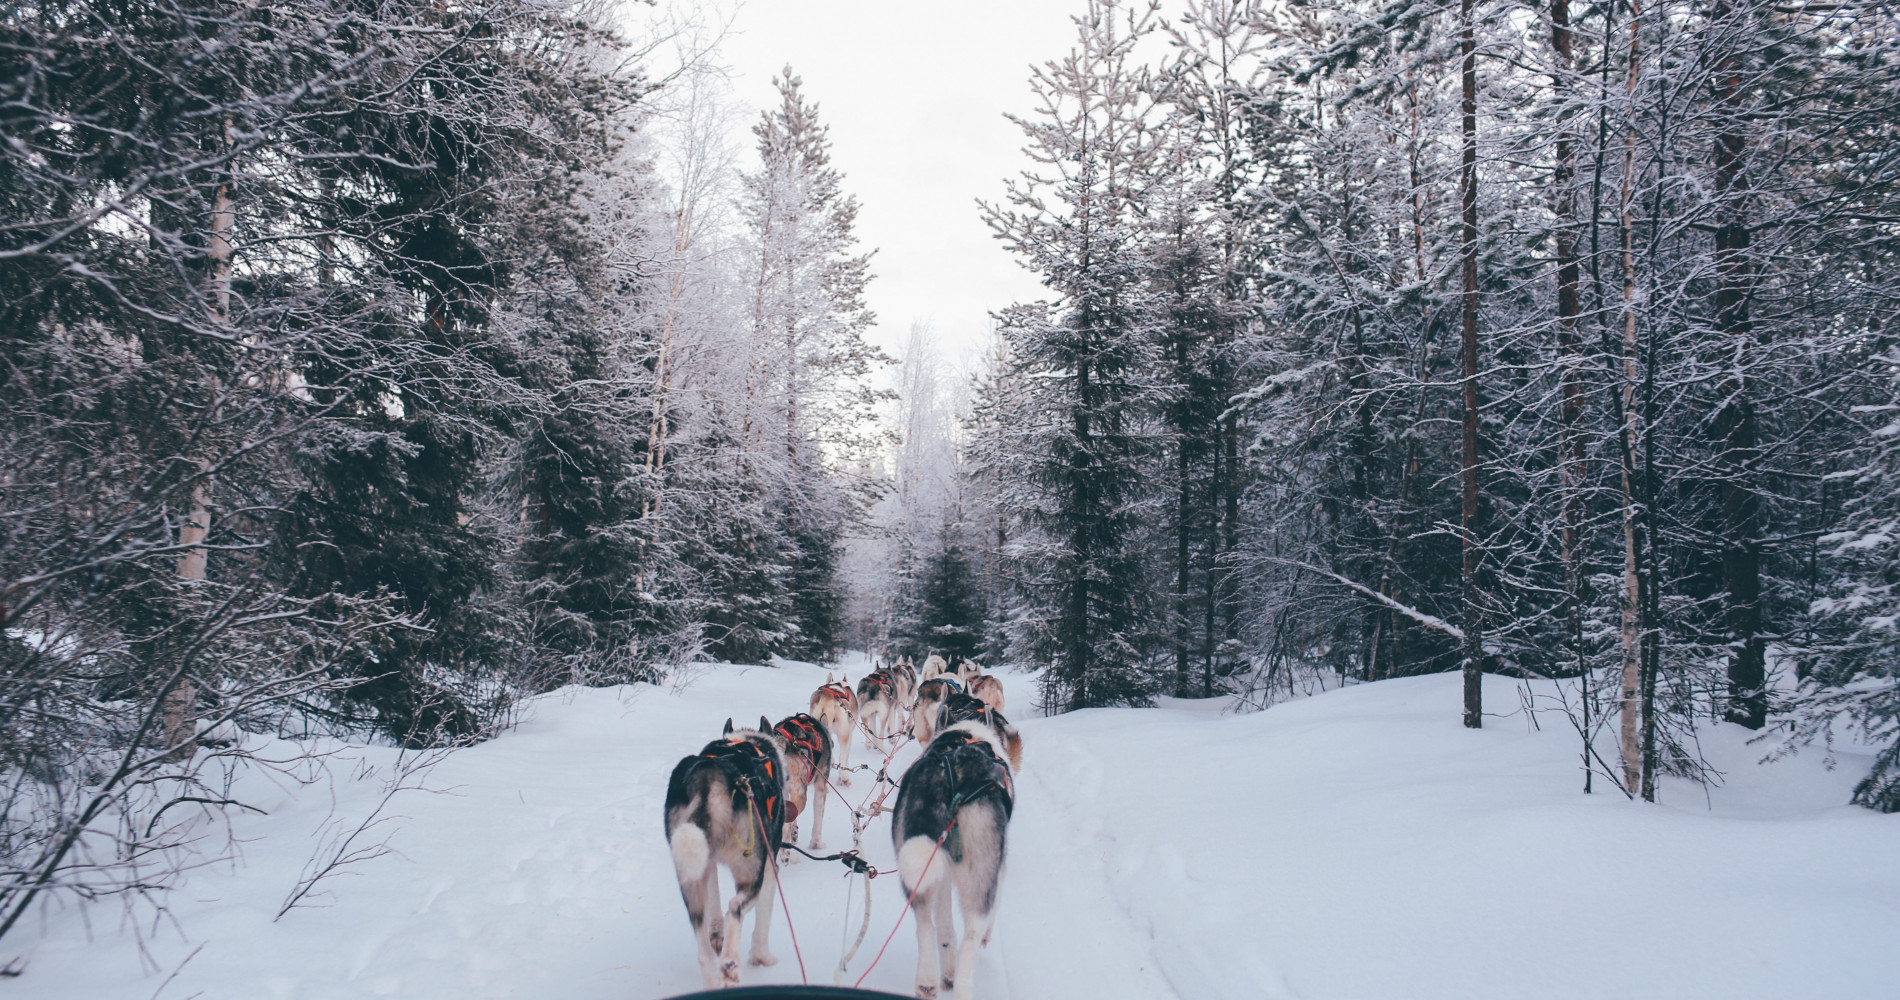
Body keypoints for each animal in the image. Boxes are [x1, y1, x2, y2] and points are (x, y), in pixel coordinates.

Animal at [668, 722, 786, 988]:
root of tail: (708, 776)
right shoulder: (768, 865)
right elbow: (762, 914)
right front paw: (762, 956)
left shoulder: (708, 862)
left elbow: (715, 899)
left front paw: (716, 933)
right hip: (750, 869)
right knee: (735, 908)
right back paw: (730, 963)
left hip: (690, 878)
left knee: (703, 951)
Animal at [771, 714, 832, 855]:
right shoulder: (820, 787)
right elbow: (818, 820)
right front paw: (816, 844)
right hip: (801, 796)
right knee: (785, 826)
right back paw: (786, 854)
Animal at [889, 718, 1010, 996]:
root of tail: (949, 777)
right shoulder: (999, 868)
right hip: (982, 876)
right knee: (971, 937)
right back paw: (962, 986)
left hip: (918, 868)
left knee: (928, 927)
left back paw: (928, 980)